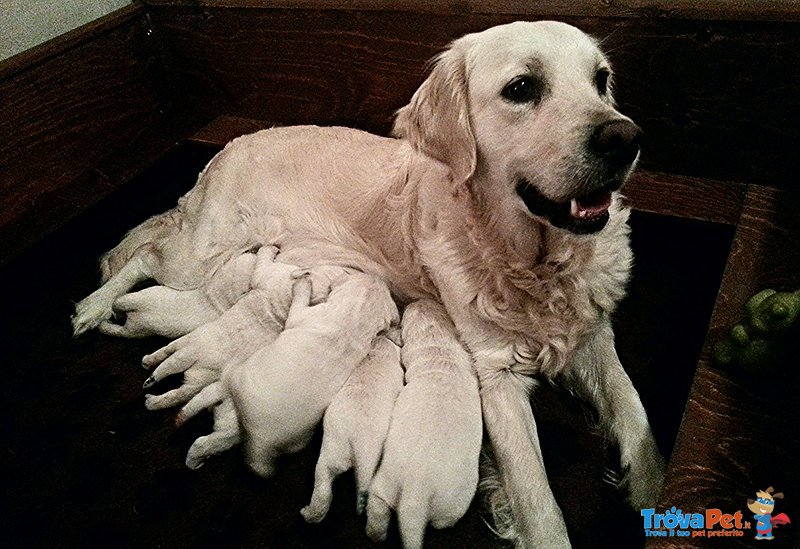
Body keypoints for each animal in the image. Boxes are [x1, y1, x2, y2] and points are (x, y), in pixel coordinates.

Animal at [225, 272, 400, 478]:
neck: (355, 318)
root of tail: (262, 442)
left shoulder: (300, 315)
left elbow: (299, 300)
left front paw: (303, 284)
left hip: (242, 377)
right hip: (300, 439)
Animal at [300, 334, 404, 524]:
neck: (376, 352)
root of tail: (354, 441)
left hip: (331, 453)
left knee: (322, 482)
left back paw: (309, 513)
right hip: (370, 458)